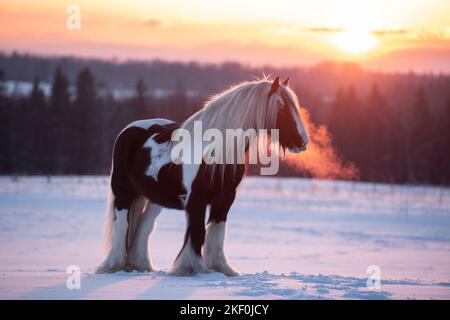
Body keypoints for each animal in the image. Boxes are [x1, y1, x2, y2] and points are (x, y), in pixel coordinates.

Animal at [96, 76, 310, 276]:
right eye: (281, 107)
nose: (303, 141)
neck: (214, 150)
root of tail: (129, 129)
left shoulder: (224, 198)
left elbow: (216, 231)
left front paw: (221, 268)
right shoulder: (195, 200)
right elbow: (197, 232)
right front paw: (192, 268)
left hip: (155, 198)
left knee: (144, 225)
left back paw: (142, 266)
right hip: (123, 192)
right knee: (121, 223)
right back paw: (114, 265)